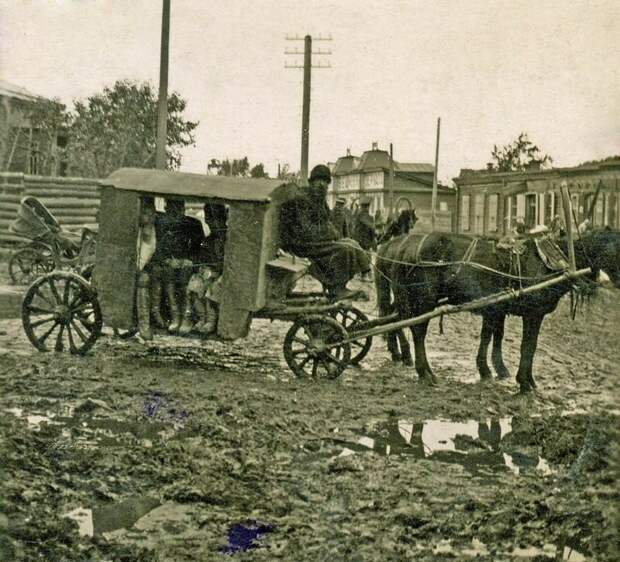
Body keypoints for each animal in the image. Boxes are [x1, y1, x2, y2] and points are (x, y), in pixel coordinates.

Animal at [376, 209, 418, 364]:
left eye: (391, 225)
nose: (380, 238)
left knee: (392, 311)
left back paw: (397, 350)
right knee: (396, 312)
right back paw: (403, 353)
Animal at [380, 226, 620, 390]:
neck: (550, 263)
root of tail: (403, 248)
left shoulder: (498, 309)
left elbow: (494, 336)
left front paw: (497, 371)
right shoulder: (532, 314)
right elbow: (527, 346)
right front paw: (524, 382)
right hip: (424, 300)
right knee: (418, 332)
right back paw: (423, 370)